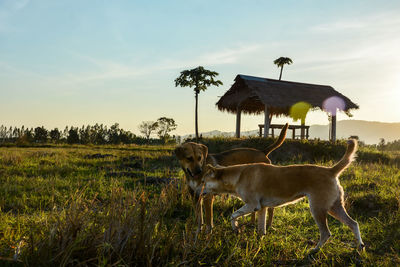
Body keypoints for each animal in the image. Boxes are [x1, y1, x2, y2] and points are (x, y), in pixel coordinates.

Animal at [202, 140, 364, 255]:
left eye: (203, 182)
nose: (199, 194)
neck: (239, 175)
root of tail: (331, 170)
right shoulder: (261, 208)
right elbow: (261, 229)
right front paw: (259, 243)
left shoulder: (252, 205)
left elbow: (233, 215)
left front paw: (236, 228)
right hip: (334, 207)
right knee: (353, 224)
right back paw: (360, 247)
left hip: (318, 209)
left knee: (326, 233)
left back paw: (314, 250)